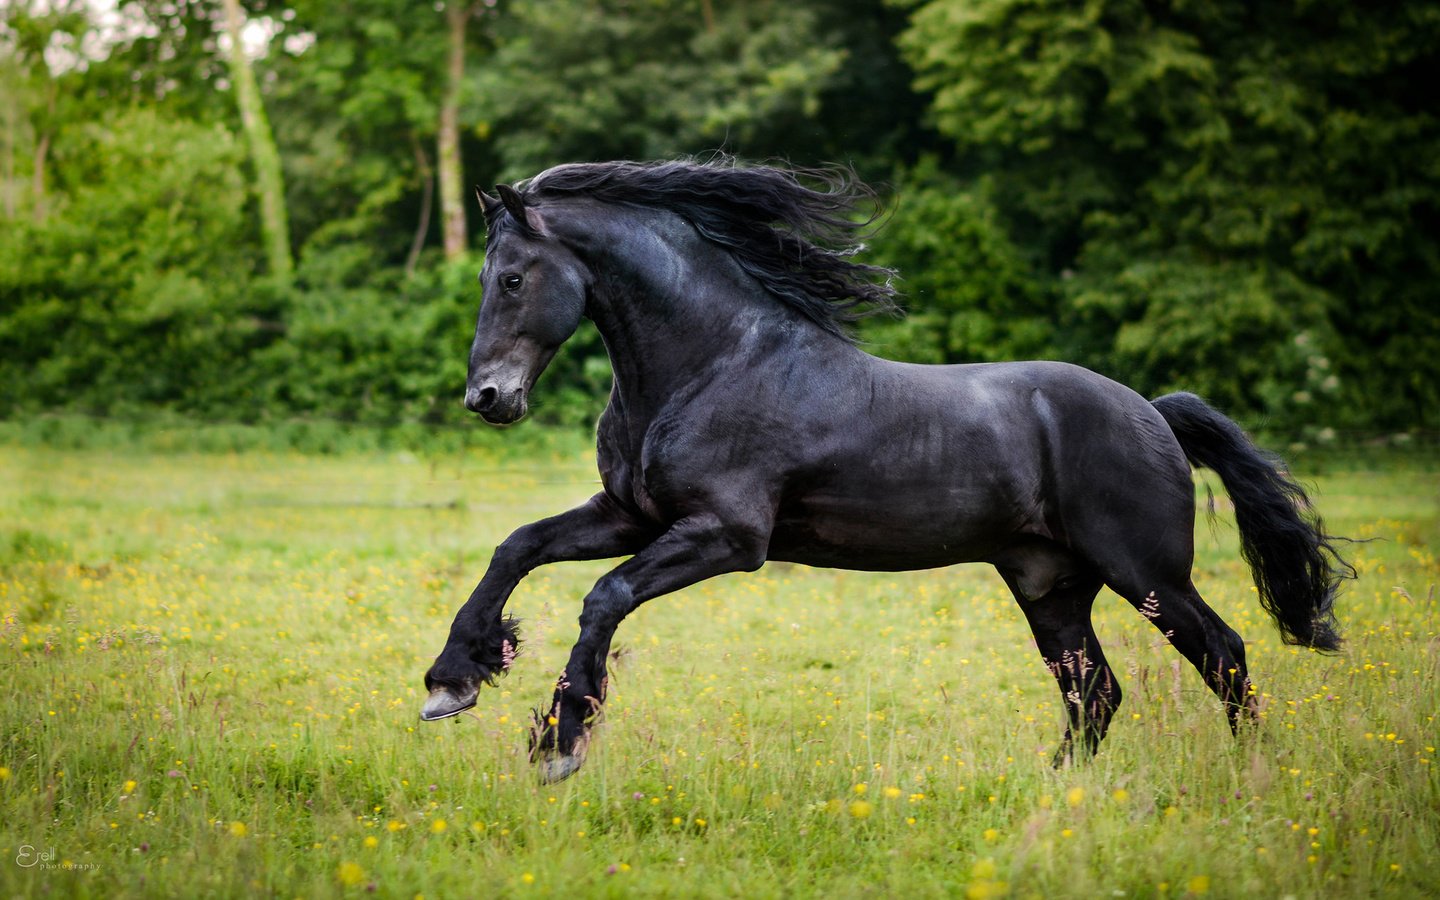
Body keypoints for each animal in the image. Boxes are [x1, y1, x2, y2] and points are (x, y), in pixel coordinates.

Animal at [420, 159, 1347, 777]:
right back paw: (1057, 790)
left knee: (1223, 653)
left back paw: (1256, 776)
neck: (711, 363)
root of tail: (1152, 411)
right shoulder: (632, 515)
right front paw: (453, 680)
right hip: (1050, 585)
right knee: (1097, 692)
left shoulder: (727, 536)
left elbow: (604, 596)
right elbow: (517, 547)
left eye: (511, 278)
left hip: (1145, 573)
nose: (488, 397)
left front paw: (559, 739)